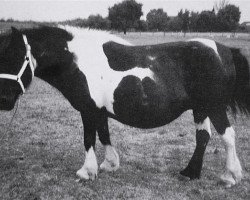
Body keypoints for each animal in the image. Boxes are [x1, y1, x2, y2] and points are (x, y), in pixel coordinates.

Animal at [0, 25, 250, 187]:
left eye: (17, 57)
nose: (4, 100)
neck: (78, 61)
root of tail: (225, 50)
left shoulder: (88, 110)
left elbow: (89, 138)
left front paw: (86, 172)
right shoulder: (99, 111)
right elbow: (104, 134)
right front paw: (109, 164)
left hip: (214, 106)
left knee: (227, 136)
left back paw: (230, 176)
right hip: (200, 108)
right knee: (203, 137)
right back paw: (190, 173)